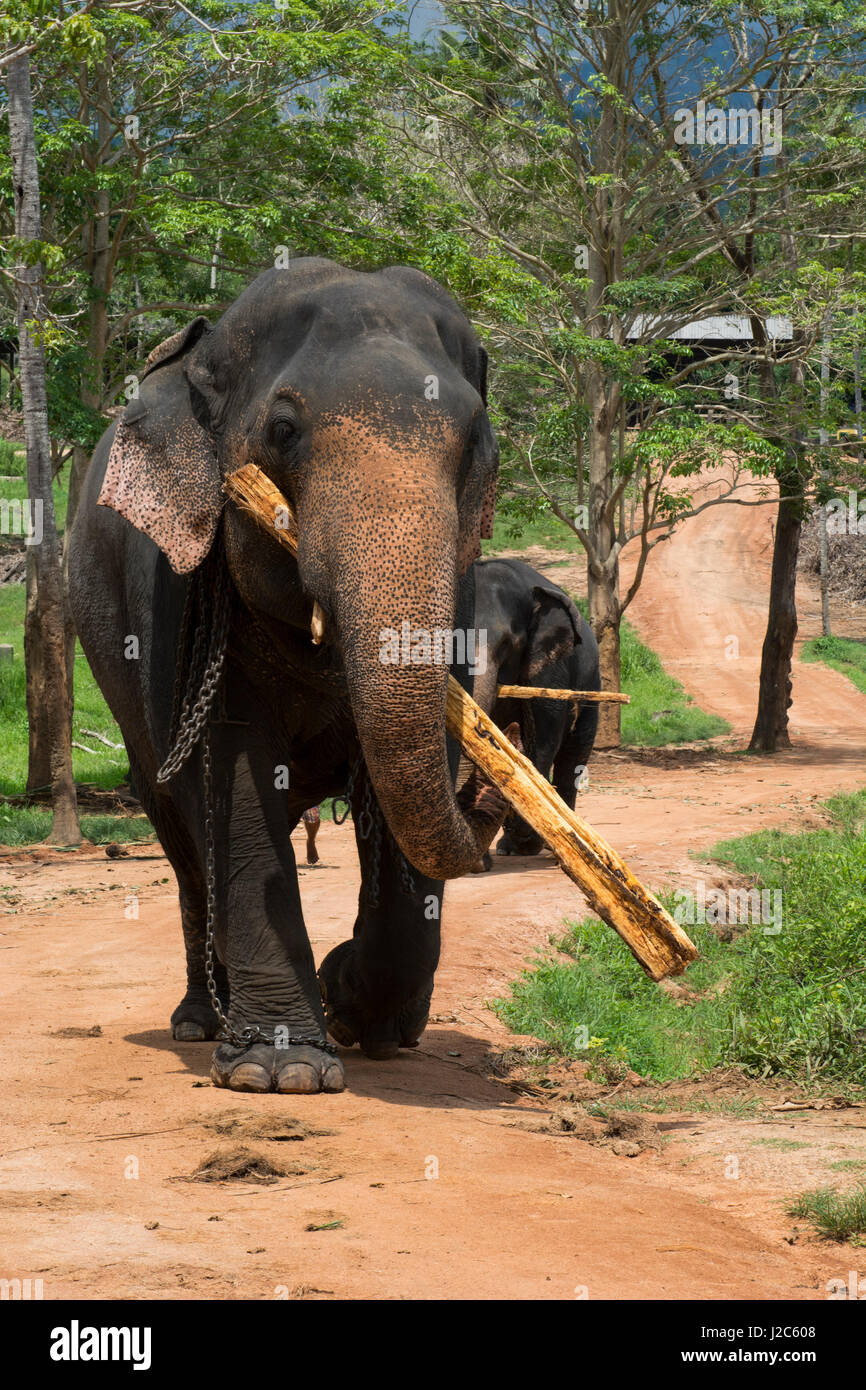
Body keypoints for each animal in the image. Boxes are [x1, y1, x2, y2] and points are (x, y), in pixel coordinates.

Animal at [69, 259, 515, 1096]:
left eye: (478, 442)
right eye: (283, 432)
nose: (490, 796)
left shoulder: (462, 590)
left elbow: (408, 779)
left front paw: (361, 1013)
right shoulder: (183, 593)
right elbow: (234, 776)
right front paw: (282, 1069)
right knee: (182, 842)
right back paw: (200, 1022)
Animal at [468, 558, 600, 864]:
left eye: (507, 644)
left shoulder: (550, 668)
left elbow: (541, 739)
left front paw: (525, 842)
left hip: (591, 691)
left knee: (571, 759)